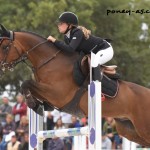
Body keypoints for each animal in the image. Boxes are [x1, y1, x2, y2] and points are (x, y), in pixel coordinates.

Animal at [0, 23, 150, 146]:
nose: (1, 68)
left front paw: (33, 104)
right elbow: (27, 86)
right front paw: (38, 105)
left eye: (5, 47)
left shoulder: (57, 94)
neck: (49, 61)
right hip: (129, 129)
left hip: (143, 128)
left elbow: (26, 83)